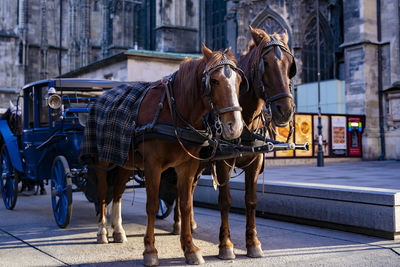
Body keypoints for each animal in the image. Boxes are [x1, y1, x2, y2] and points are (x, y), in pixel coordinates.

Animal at [91, 45, 245, 266]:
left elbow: (186, 204)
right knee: (103, 192)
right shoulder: (152, 166)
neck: (175, 111)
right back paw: (102, 230)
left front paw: (190, 248)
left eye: (239, 81)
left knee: (118, 191)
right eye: (214, 81)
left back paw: (118, 230)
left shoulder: (187, 166)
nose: (236, 127)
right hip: (102, 160)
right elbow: (152, 205)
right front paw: (150, 250)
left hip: (124, 161)